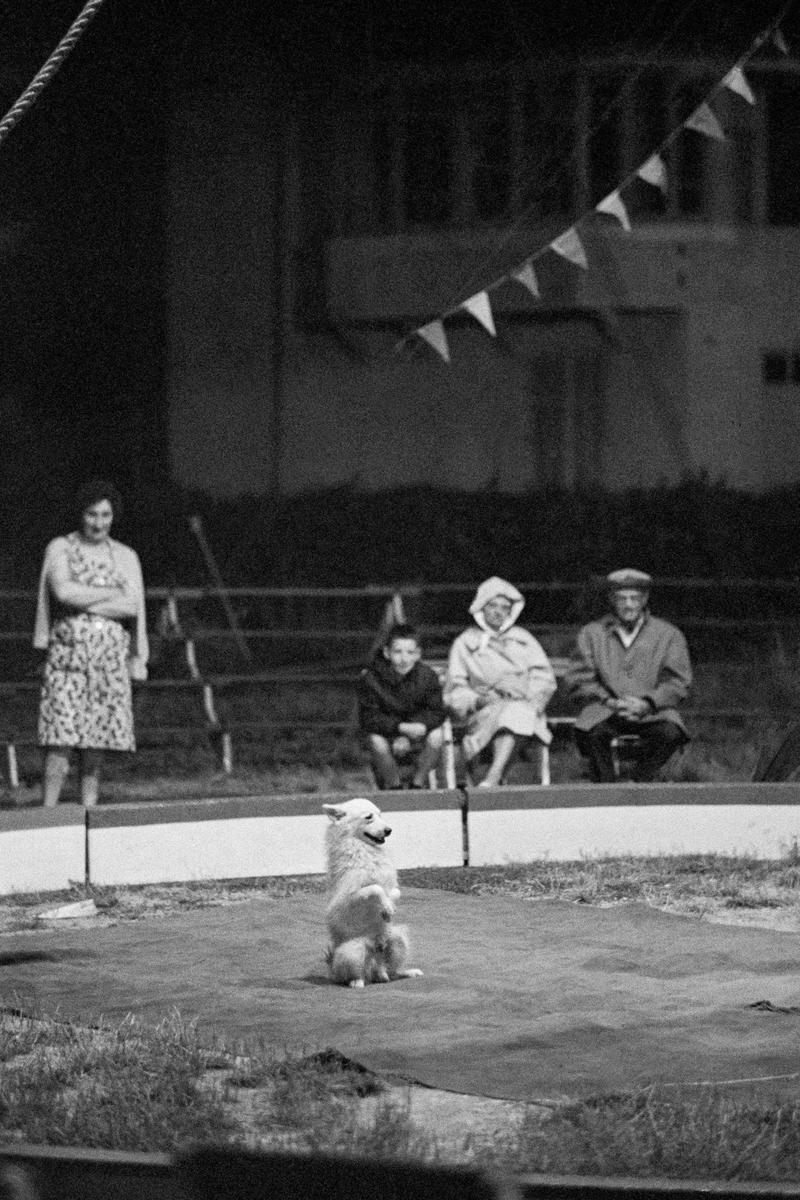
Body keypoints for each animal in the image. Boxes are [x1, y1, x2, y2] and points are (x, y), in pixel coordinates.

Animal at [321, 801, 424, 988]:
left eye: (380, 815)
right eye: (368, 817)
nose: (389, 830)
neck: (365, 850)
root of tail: (377, 969)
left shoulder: (391, 885)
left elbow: (394, 892)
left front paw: (389, 909)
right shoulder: (348, 898)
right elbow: (375, 888)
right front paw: (386, 907)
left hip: (398, 939)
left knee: (392, 971)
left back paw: (405, 972)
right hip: (353, 950)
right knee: (351, 976)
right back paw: (357, 982)